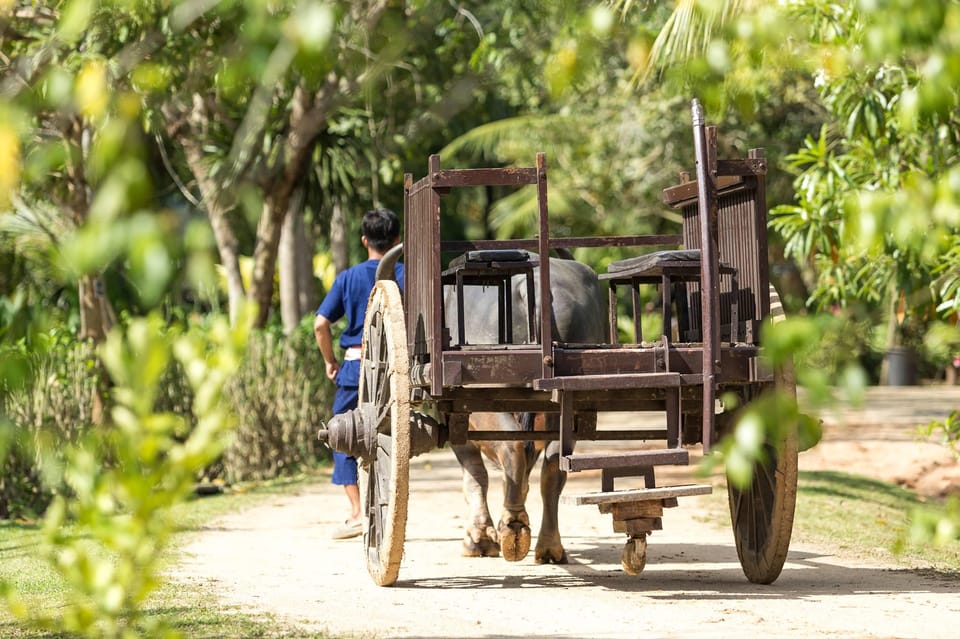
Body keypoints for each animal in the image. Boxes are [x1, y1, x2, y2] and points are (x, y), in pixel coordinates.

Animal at [444, 255, 608, 564]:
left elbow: (475, 476)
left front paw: (478, 540)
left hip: (489, 400)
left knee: (513, 448)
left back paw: (513, 527)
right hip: (568, 405)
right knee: (553, 467)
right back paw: (548, 545)